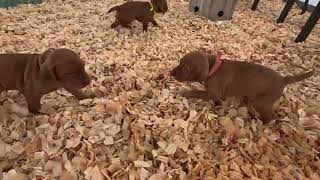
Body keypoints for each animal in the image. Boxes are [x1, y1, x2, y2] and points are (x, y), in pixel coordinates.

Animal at [171, 50, 314, 124]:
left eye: (186, 68)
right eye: (179, 62)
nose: (170, 73)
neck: (214, 68)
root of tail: (284, 79)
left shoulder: (212, 93)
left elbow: (196, 91)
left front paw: (184, 92)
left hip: (262, 102)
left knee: (273, 117)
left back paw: (263, 124)